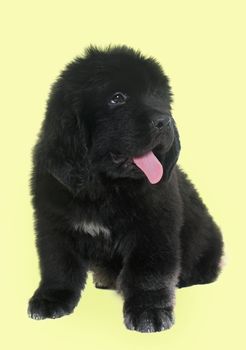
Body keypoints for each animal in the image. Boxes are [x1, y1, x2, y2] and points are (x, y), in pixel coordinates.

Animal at [27, 45, 224, 332]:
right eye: (117, 98)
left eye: (160, 98)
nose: (165, 121)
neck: (104, 188)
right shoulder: (54, 223)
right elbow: (58, 265)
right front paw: (51, 299)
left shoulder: (153, 228)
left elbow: (146, 272)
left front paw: (149, 311)